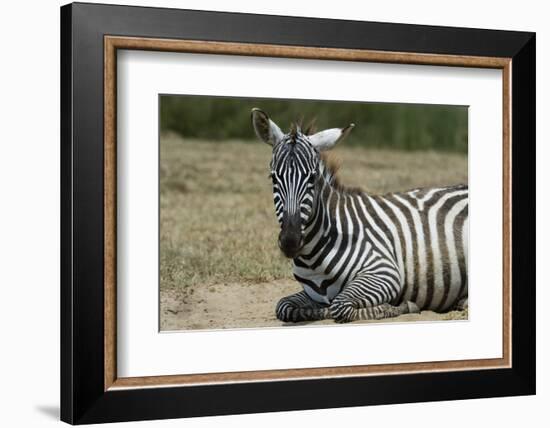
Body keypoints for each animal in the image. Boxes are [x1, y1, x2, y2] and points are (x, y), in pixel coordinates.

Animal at [251, 108, 470, 322]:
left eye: (312, 178)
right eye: (273, 177)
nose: (290, 241)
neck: (313, 258)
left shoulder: (385, 272)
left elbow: (339, 307)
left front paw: (401, 306)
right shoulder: (311, 293)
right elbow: (284, 306)